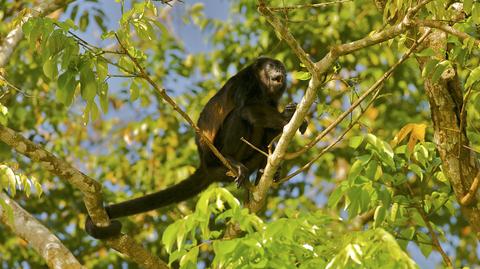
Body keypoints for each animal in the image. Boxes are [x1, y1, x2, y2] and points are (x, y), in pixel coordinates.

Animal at [84, 57, 306, 238]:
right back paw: (232, 161)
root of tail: (205, 164)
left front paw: (288, 115)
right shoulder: (246, 82)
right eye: (272, 66)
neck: (262, 85)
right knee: (239, 115)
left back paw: (265, 169)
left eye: (281, 67)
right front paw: (286, 118)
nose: (281, 72)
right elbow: (247, 109)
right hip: (215, 157)